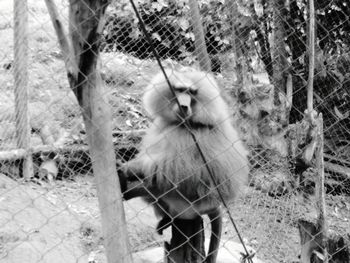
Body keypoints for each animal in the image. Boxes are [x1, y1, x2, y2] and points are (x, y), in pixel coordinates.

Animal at [118, 69, 249, 262]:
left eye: (192, 93)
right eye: (180, 90)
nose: (184, 106)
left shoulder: (197, 136)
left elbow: (192, 173)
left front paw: (130, 168)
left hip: (188, 205)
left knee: (158, 183)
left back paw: (126, 185)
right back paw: (165, 220)